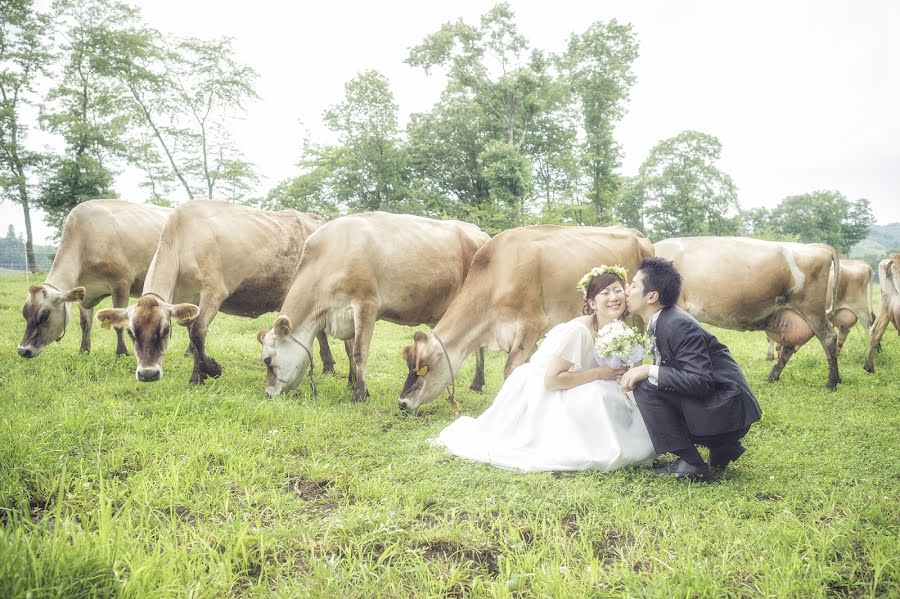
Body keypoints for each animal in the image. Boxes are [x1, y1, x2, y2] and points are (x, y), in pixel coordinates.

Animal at [16, 202, 171, 358]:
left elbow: (118, 324)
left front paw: (121, 352)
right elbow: (85, 323)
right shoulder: (84, 292)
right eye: (24, 313)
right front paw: (84, 350)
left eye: (44, 316)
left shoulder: (121, 284)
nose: (23, 350)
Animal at [95, 202, 336, 384]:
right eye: (130, 332)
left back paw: (329, 367)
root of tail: (315, 219)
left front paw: (210, 371)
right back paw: (327, 367)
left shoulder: (214, 291)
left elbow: (198, 333)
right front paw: (198, 376)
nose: (148, 374)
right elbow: (192, 336)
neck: (182, 239)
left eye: (164, 330)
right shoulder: (188, 300)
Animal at [256, 212, 488, 404]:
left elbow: (359, 351)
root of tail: (480, 233)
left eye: (268, 360)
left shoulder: (366, 304)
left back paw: (477, 383)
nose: (268, 393)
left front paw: (359, 394)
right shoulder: (344, 314)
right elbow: (349, 350)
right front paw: (351, 382)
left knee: (480, 345)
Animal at [398, 225, 652, 412]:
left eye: (423, 367)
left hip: (639, 315)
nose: (402, 403)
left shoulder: (531, 324)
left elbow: (510, 369)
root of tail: (637, 234)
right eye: (409, 364)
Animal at [652, 237, 840, 392]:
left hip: (813, 310)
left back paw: (831, 383)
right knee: (789, 346)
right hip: (792, 315)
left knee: (829, 337)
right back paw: (772, 377)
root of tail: (819, 247)